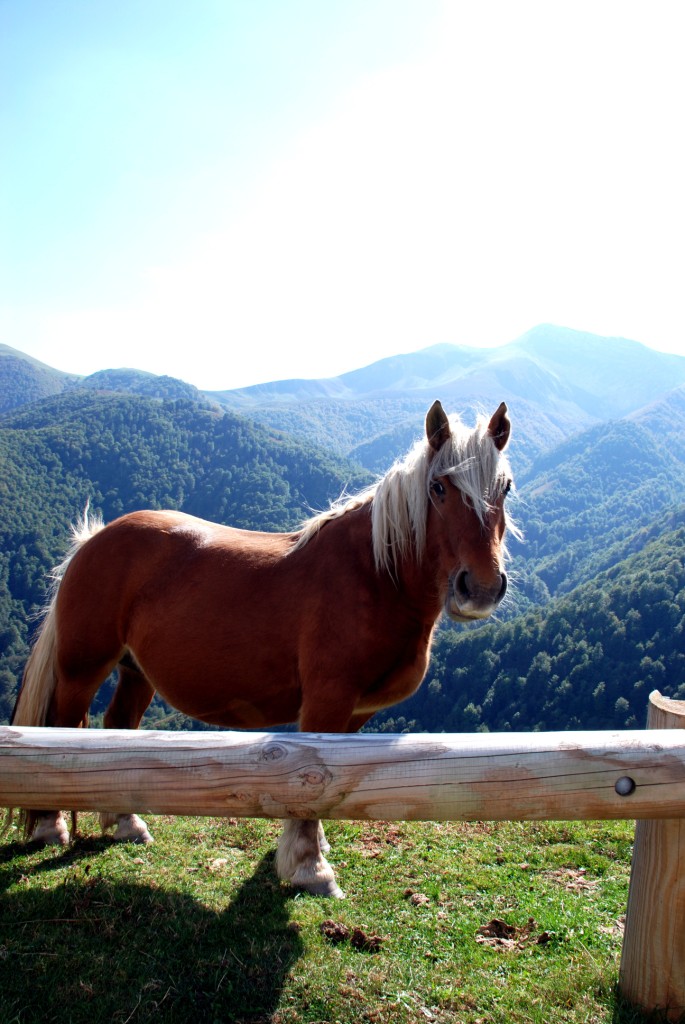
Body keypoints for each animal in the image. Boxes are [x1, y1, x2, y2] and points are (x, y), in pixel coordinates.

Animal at [10, 399, 516, 897]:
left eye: (505, 487)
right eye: (438, 487)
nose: (481, 588)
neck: (372, 575)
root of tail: (92, 539)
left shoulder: (355, 713)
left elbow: (330, 781)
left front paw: (313, 848)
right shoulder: (327, 701)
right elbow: (314, 779)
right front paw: (309, 867)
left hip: (136, 672)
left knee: (117, 726)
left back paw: (125, 822)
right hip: (81, 668)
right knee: (59, 730)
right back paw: (50, 826)